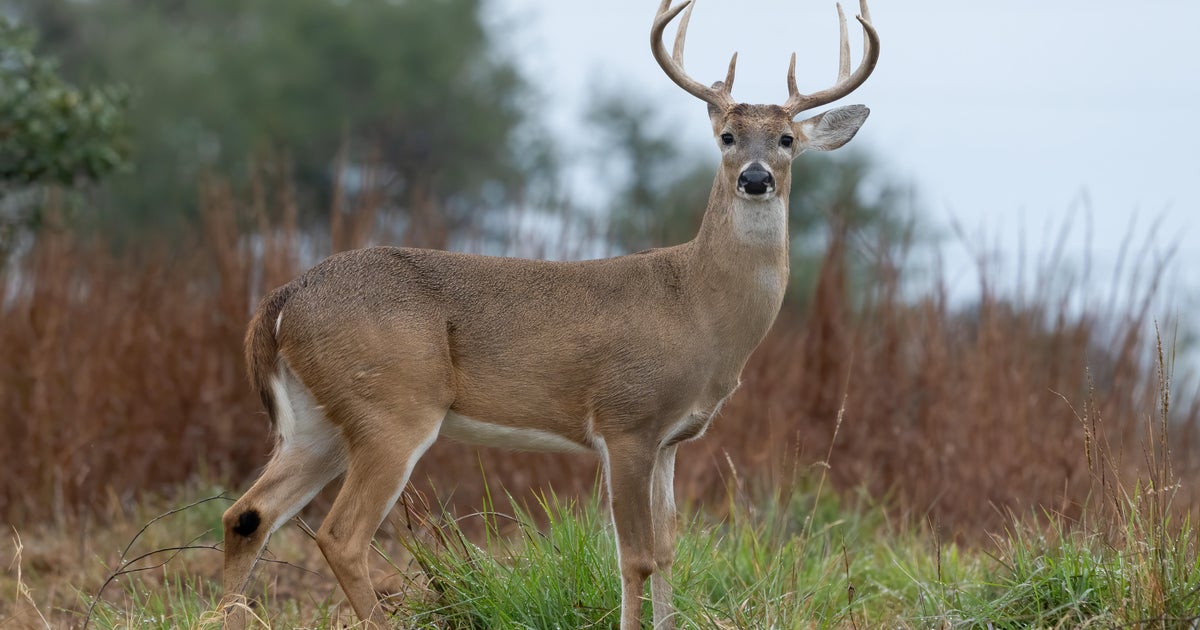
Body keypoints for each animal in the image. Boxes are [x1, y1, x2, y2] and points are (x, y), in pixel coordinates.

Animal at [218, 0, 879, 628]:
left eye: (787, 140)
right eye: (728, 136)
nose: (756, 178)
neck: (696, 306)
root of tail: (283, 299)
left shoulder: (671, 440)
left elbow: (668, 551)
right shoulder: (625, 420)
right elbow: (635, 557)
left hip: (318, 420)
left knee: (248, 513)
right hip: (392, 407)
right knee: (339, 534)